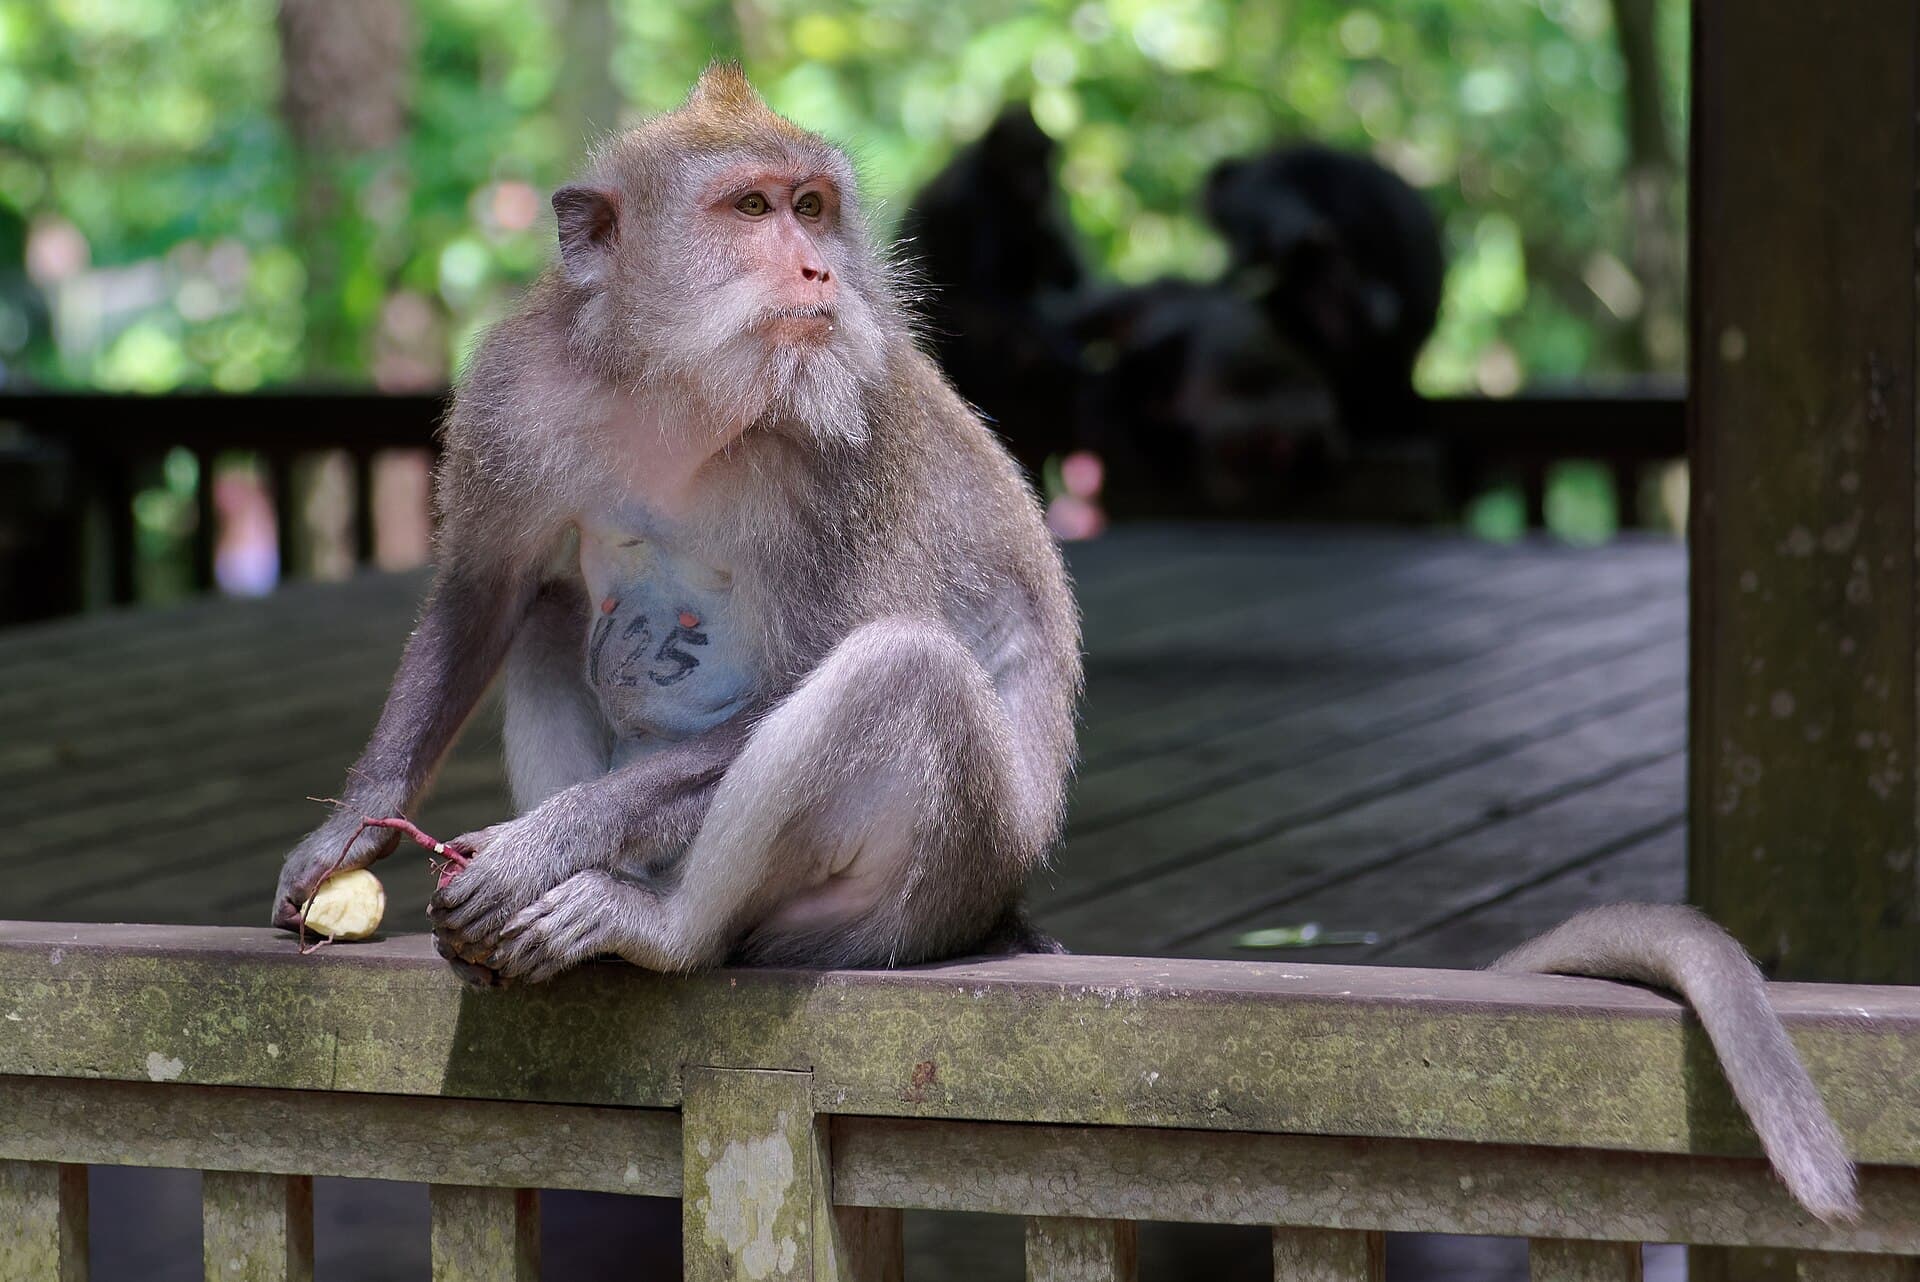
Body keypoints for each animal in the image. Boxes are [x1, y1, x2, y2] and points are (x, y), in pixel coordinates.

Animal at [268, 62, 1081, 981]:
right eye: (754, 208)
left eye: (811, 207)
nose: (817, 271)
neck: (681, 387)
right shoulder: (514, 393)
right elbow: (484, 588)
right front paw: (350, 829)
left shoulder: (851, 447)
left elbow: (803, 679)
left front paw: (546, 843)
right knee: (553, 608)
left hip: (920, 901)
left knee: (904, 671)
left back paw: (662, 927)